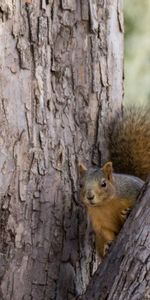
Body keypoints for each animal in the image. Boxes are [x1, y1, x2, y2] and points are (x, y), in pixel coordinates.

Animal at [78, 106, 150, 258]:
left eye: (104, 184)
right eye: (80, 185)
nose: (90, 197)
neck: (106, 205)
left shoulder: (132, 190)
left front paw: (127, 213)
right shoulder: (99, 222)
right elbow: (107, 233)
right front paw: (108, 245)